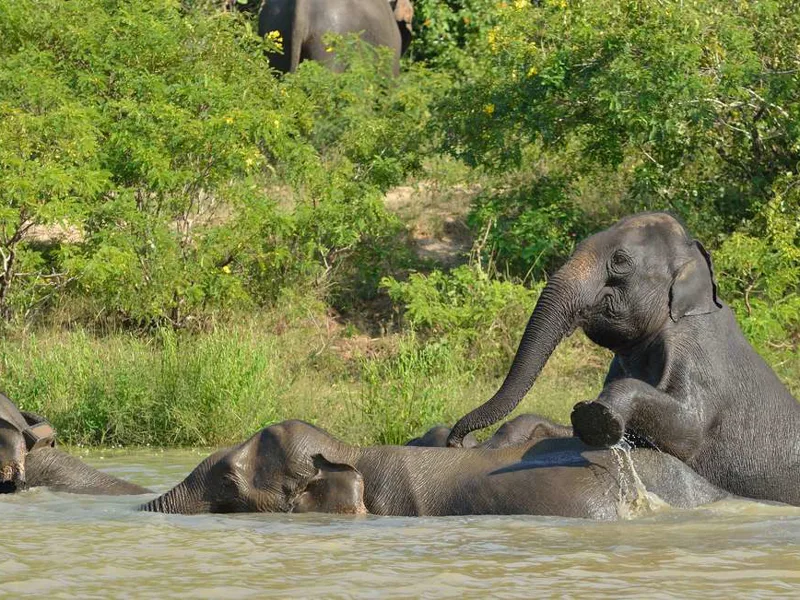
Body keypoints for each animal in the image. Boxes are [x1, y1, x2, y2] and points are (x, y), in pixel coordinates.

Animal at [446, 212, 800, 506]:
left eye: (619, 260)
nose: (457, 442)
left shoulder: (700, 353)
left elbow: (689, 433)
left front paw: (595, 416)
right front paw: (502, 441)